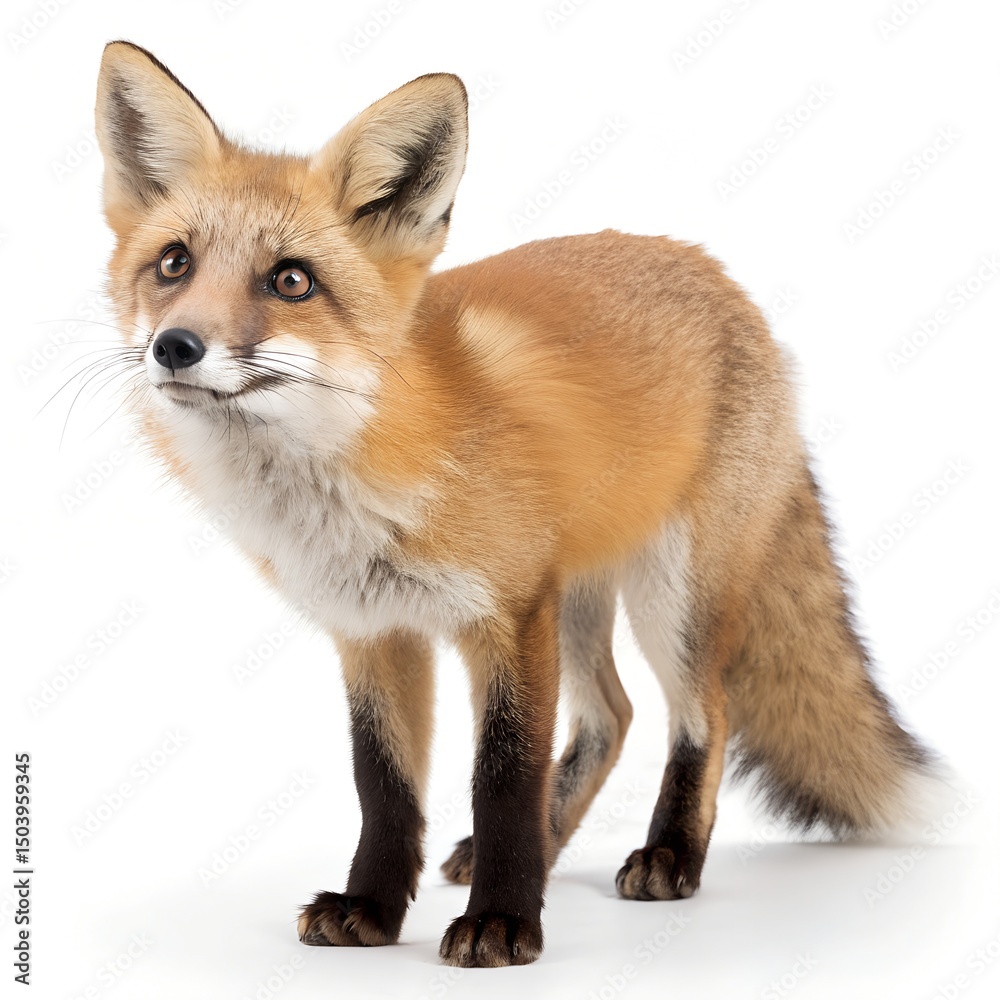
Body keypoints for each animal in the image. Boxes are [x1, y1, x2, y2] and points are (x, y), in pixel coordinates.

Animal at [94, 41, 942, 968]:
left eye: (290, 281)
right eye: (174, 264)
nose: (176, 347)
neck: (368, 475)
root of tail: (720, 278)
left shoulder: (506, 614)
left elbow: (503, 774)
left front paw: (504, 922)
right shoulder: (372, 631)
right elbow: (383, 786)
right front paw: (373, 907)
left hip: (669, 598)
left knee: (700, 714)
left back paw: (671, 854)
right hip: (577, 601)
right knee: (613, 714)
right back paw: (554, 840)